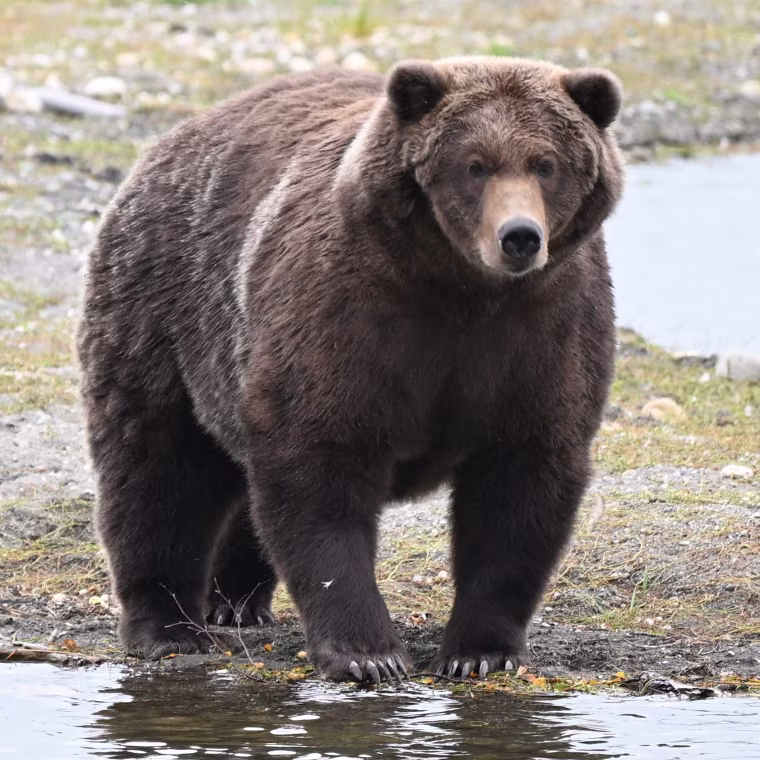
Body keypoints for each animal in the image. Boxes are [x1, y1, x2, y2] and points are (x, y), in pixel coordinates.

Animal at [77, 56, 623, 682]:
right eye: (475, 165)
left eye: (546, 163)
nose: (520, 237)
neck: (462, 290)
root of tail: (170, 141)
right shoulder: (348, 311)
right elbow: (320, 464)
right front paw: (370, 653)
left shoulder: (543, 330)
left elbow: (521, 482)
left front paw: (480, 651)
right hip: (165, 311)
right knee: (157, 468)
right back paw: (168, 627)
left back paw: (235, 600)